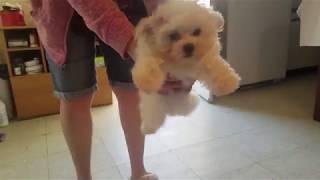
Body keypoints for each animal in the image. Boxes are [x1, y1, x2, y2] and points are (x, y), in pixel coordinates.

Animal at [131, 0, 240, 134]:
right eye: (173, 35)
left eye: (197, 31)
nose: (189, 46)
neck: (181, 62)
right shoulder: (149, 54)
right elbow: (149, 65)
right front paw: (146, 81)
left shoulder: (205, 60)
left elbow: (216, 66)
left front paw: (228, 83)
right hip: (154, 102)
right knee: (151, 111)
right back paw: (148, 127)